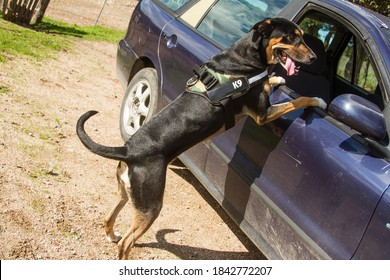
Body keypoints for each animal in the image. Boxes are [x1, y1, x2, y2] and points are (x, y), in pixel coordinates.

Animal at [75, 17, 326, 258]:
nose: (314, 57)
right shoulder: (262, 115)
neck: (245, 58)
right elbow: (299, 100)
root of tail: (128, 150)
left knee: (108, 218)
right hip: (151, 205)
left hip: (127, 194)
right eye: (291, 37)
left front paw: (276, 80)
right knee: (126, 244)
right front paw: (319, 100)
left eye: (302, 36)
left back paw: (111, 234)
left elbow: (271, 82)